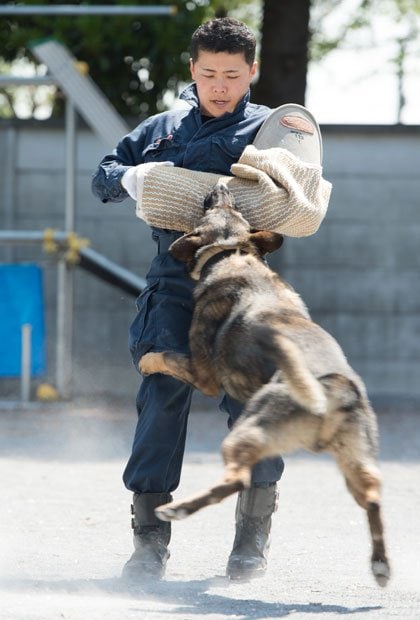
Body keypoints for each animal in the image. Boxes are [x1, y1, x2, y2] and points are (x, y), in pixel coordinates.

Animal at [140, 180, 390, 588]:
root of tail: (332, 390)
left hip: (247, 433)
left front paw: (147, 361)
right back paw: (381, 565)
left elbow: (165, 357)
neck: (232, 253)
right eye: (233, 210)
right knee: (372, 499)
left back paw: (179, 510)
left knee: (237, 481)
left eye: (211, 209)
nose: (221, 185)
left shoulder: (202, 374)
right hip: (357, 464)